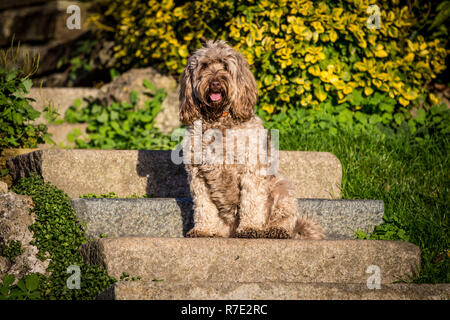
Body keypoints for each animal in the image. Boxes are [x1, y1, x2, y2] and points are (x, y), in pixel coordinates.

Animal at [178, 40, 324, 239]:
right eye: (205, 66)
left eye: (225, 66)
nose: (215, 82)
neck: (218, 119)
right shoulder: (198, 175)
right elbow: (203, 206)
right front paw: (204, 229)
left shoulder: (251, 168)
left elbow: (252, 201)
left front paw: (249, 228)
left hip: (282, 187)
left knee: (285, 218)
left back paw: (276, 230)